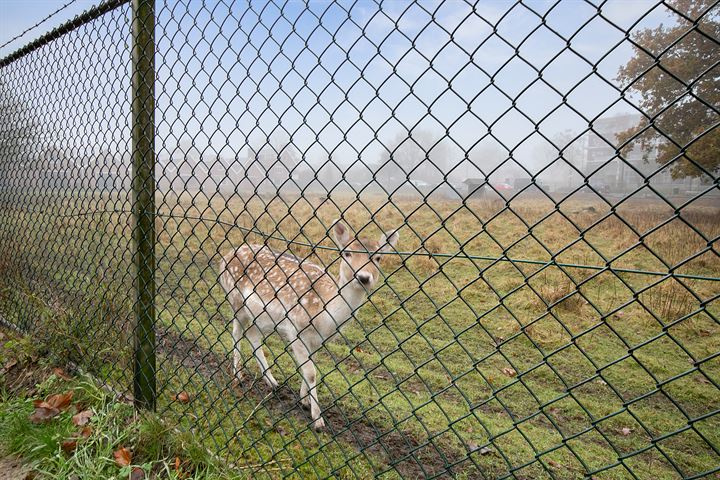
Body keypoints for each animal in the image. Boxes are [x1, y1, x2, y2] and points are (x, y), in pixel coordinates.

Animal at [219, 219, 400, 430]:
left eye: (378, 258)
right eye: (347, 253)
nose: (363, 277)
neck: (324, 318)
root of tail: (225, 255)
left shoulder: (318, 339)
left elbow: (310, 368)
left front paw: (304, 400)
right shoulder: (295, 328)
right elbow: (310, 371)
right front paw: (317, 419)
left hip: (259, 315)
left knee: (253, 336)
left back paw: (272, 382)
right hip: (235, 299)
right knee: (236, 332)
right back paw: (238, 375)